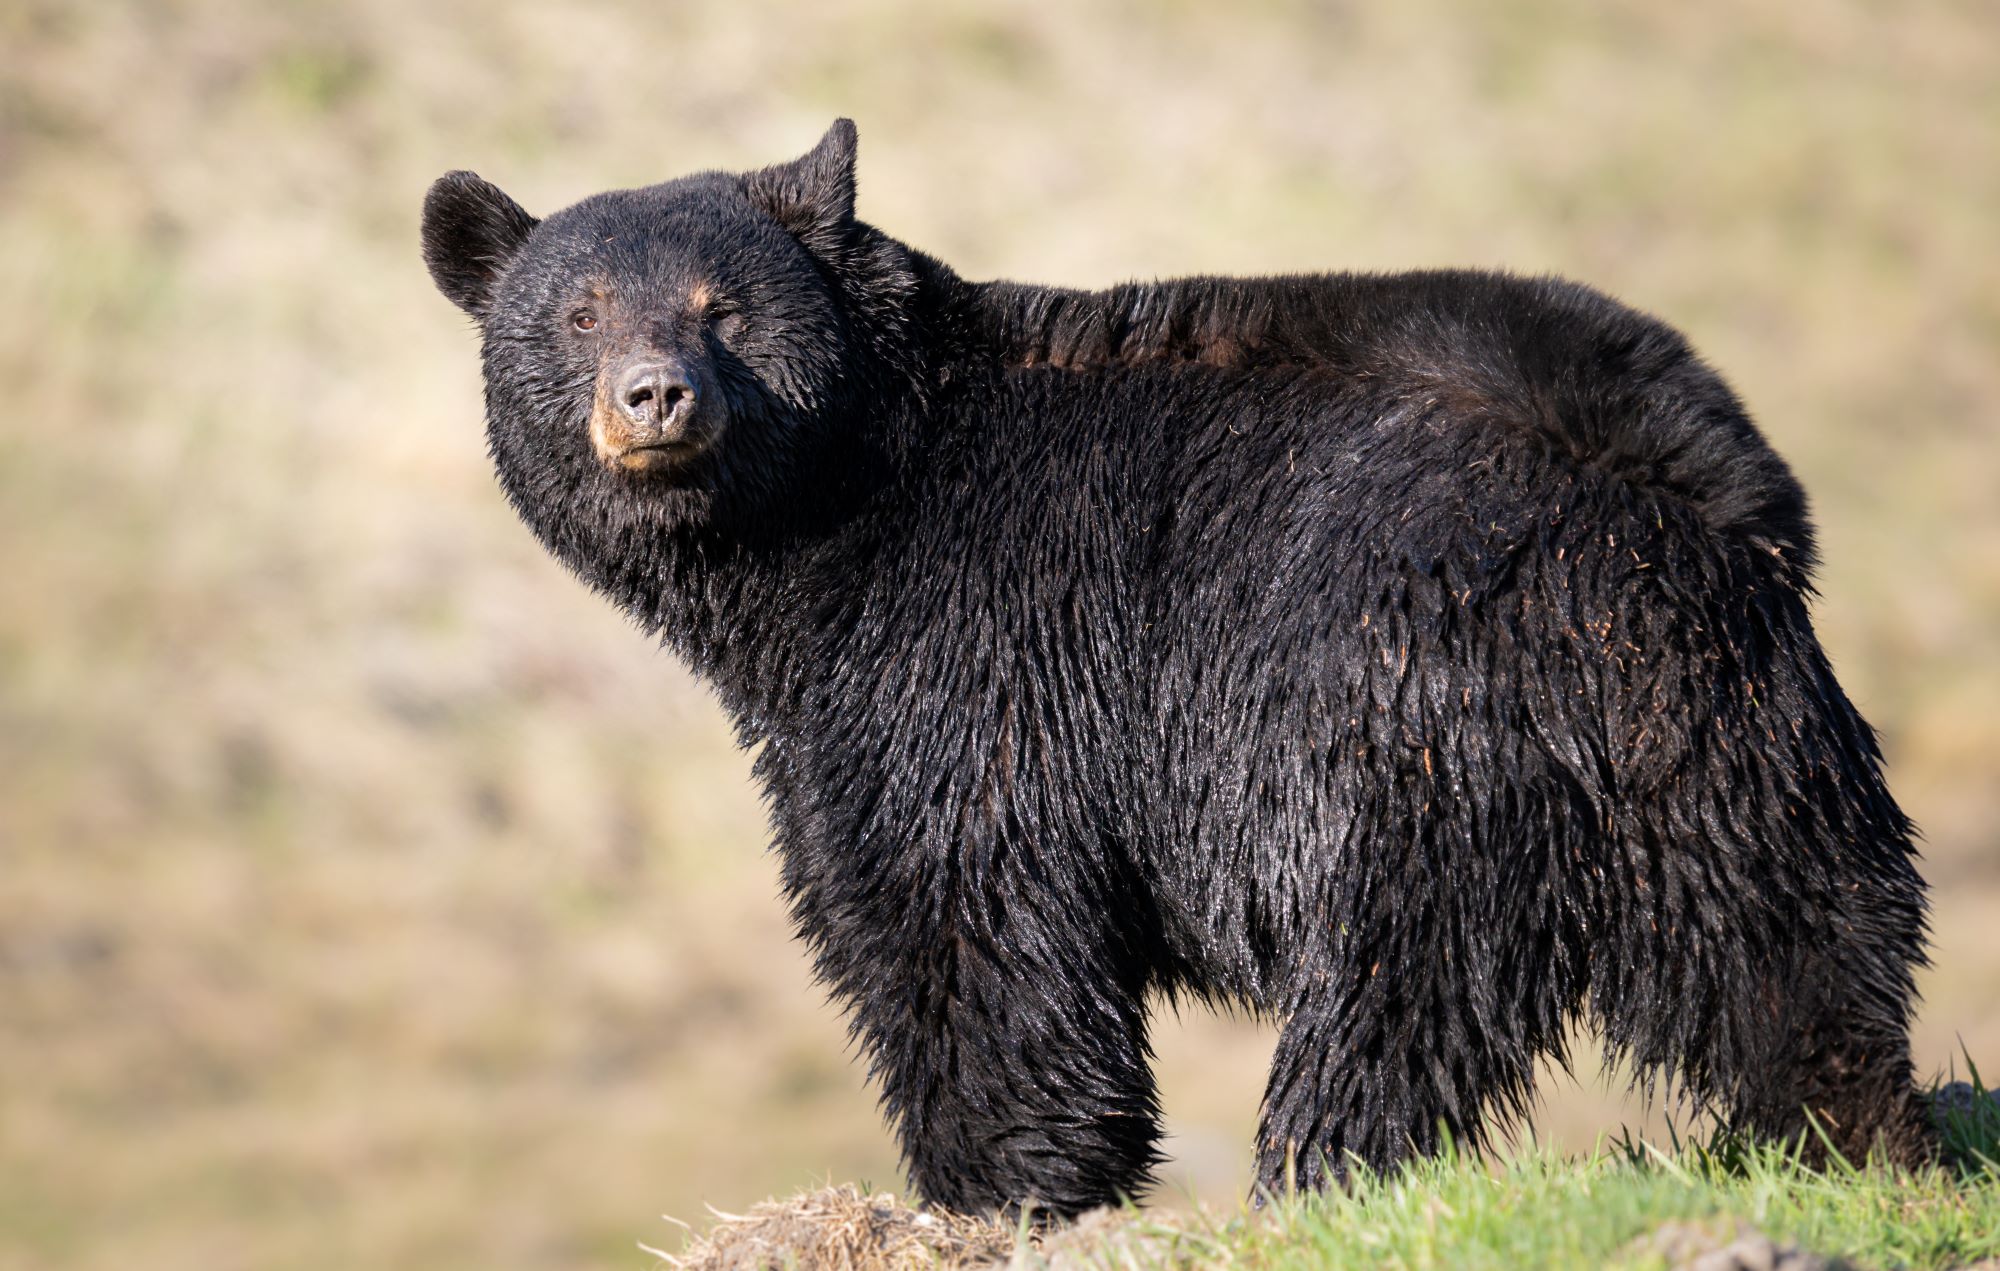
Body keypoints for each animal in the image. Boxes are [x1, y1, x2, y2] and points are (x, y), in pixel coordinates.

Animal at [422, 121, 1936, 1223]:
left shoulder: (964, 654)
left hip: (1411, 714)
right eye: (578, 313)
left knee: (1391, 982)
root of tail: (1671, 491)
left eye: (721, 307)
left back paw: (1312, 1175)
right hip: (1731, 739)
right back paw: (1860, 1133)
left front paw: (993, 1188)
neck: (833, 531)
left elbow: (963, 907)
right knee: (1794, 947)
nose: (654, 395)